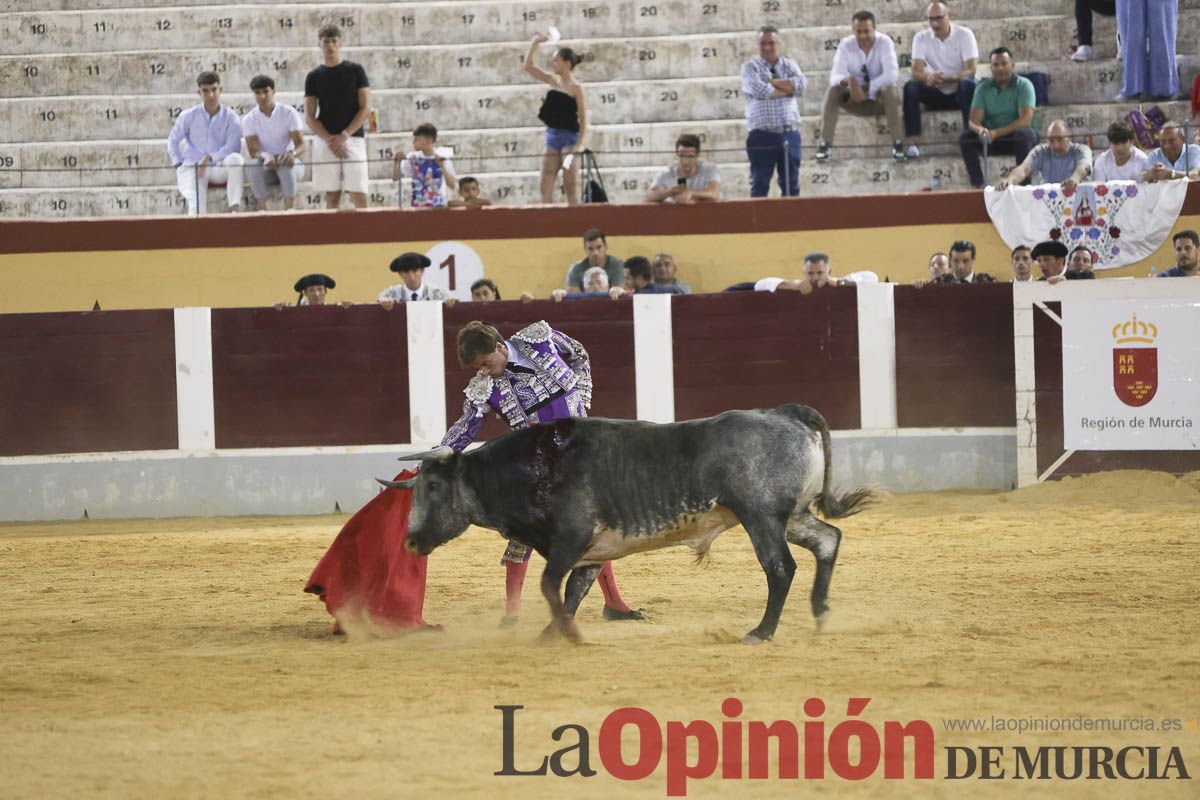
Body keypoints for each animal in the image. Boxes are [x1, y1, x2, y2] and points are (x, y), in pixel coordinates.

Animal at [381, 402, 873, 642]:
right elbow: (572, 593)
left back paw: (762, 631)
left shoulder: (570, 540)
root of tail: (787, 412)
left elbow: (550, 586)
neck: (532, 467)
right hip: (790, 516)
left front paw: (567, 634)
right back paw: (820, 611)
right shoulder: (591, 552)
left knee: (780, 568)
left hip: (761, 516)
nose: (410, 542)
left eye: (433, 488)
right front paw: (551, 634)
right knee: (828, 539)